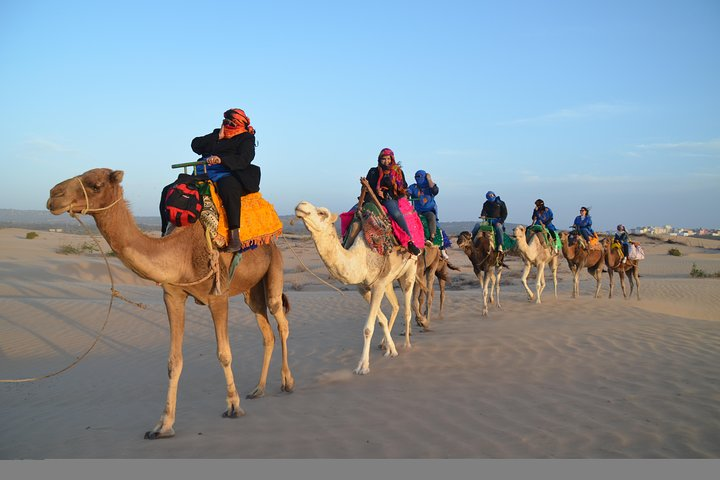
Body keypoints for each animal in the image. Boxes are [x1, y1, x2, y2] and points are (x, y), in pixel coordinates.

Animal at [46, 168, 294, 438]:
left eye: (96, 185)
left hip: (275, 269)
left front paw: (233, 406)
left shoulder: (218, 297)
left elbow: (224, 354)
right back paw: (258, 389)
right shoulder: (173, 297)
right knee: (266, 332)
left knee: (280, 320)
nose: (53, 195)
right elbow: (174, 361)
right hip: (251, 290)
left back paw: (287, 382)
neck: (181, 252)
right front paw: (163, 425)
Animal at [292, 199, 416, 376]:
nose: (301, 204)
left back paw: (407, 344)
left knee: (406, 309)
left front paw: (363, 366)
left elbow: (368, 328)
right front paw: (391, 350)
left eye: (322, 213)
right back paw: (385, 344)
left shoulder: (378, 285)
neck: (360, 258)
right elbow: (381, 320)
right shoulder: (363, 288)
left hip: (411, 269)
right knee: (396, 306)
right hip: (389, 281)